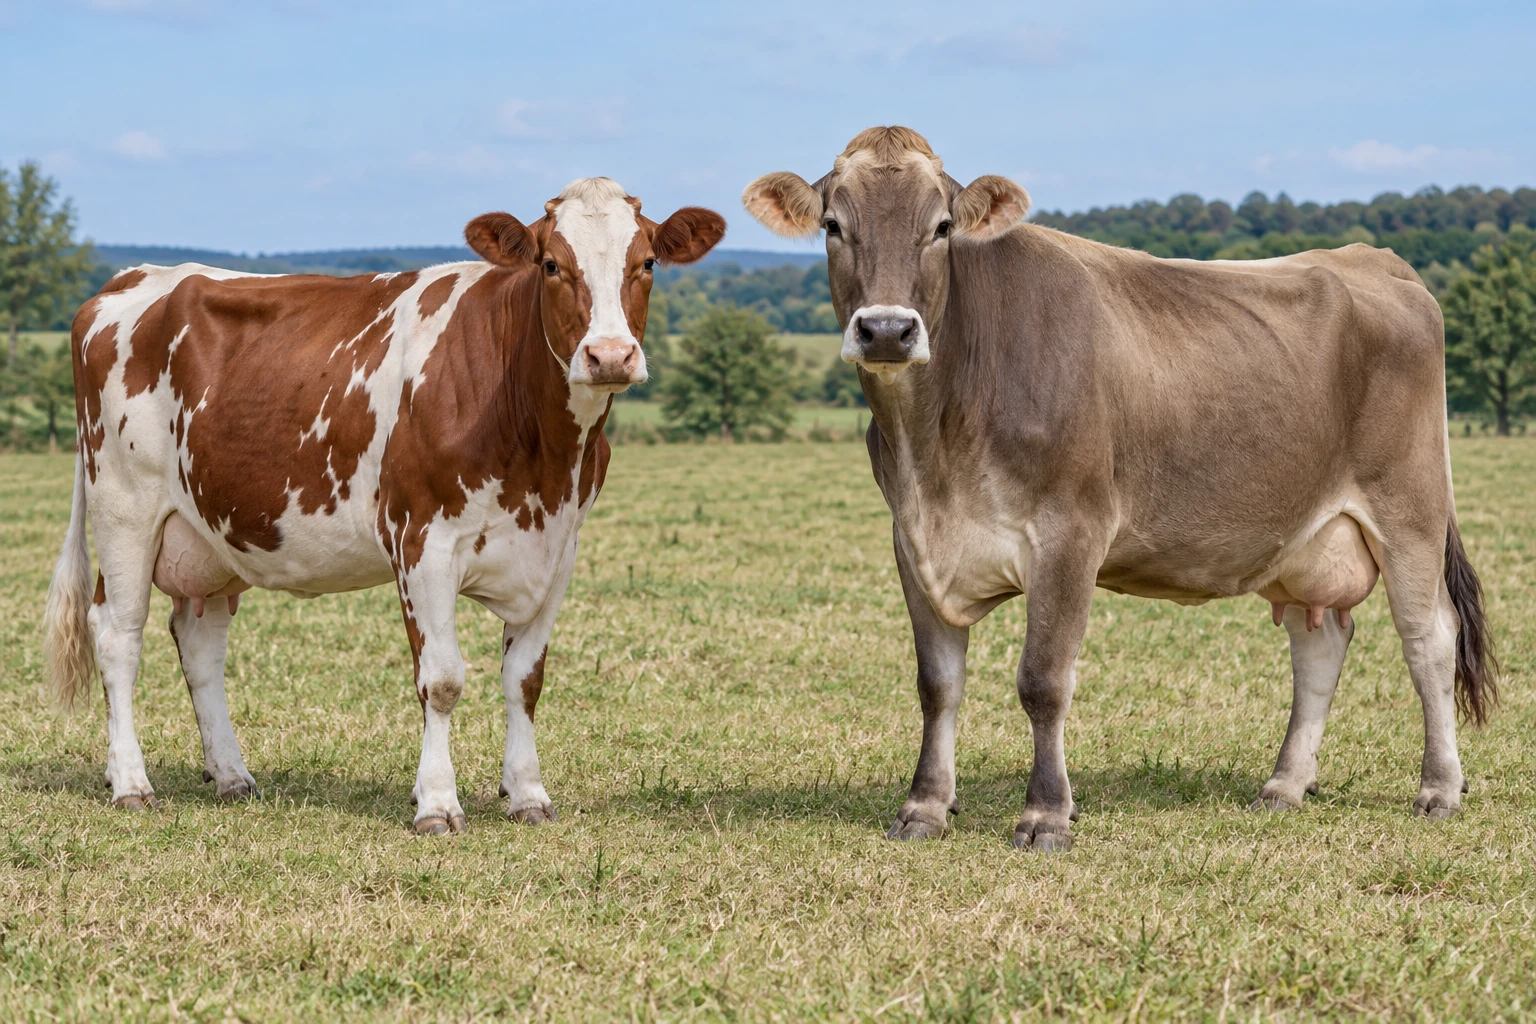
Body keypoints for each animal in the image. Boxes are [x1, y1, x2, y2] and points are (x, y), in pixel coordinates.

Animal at [43, 177, 725, 833]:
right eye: (552, 264)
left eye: (647, 263)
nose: (609, 355)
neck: (544, 456)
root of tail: (130, 279)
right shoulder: (423, 541)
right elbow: (443, 681)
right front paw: (438, 804)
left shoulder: (558, 549)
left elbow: (525, 680)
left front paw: (527, 794)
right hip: (125, 506)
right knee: (118, 636)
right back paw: (131, 783)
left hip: (209, 533)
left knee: (200, 641)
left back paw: (232, 775)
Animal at [743, 127, 1498, 851]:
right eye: (833, 225)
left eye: (942, 227)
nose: (887, 330)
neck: (936, 455)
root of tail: (1373, 258)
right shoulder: (913, 539)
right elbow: (938, 685)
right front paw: (925, 806)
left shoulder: (1071, 531)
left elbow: (1044, 681)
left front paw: (1046, 816)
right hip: (1306, 536)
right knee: (1319, 643)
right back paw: (1284, 784)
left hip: (1410, 509)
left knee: (1429, 637)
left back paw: (1439, 788)